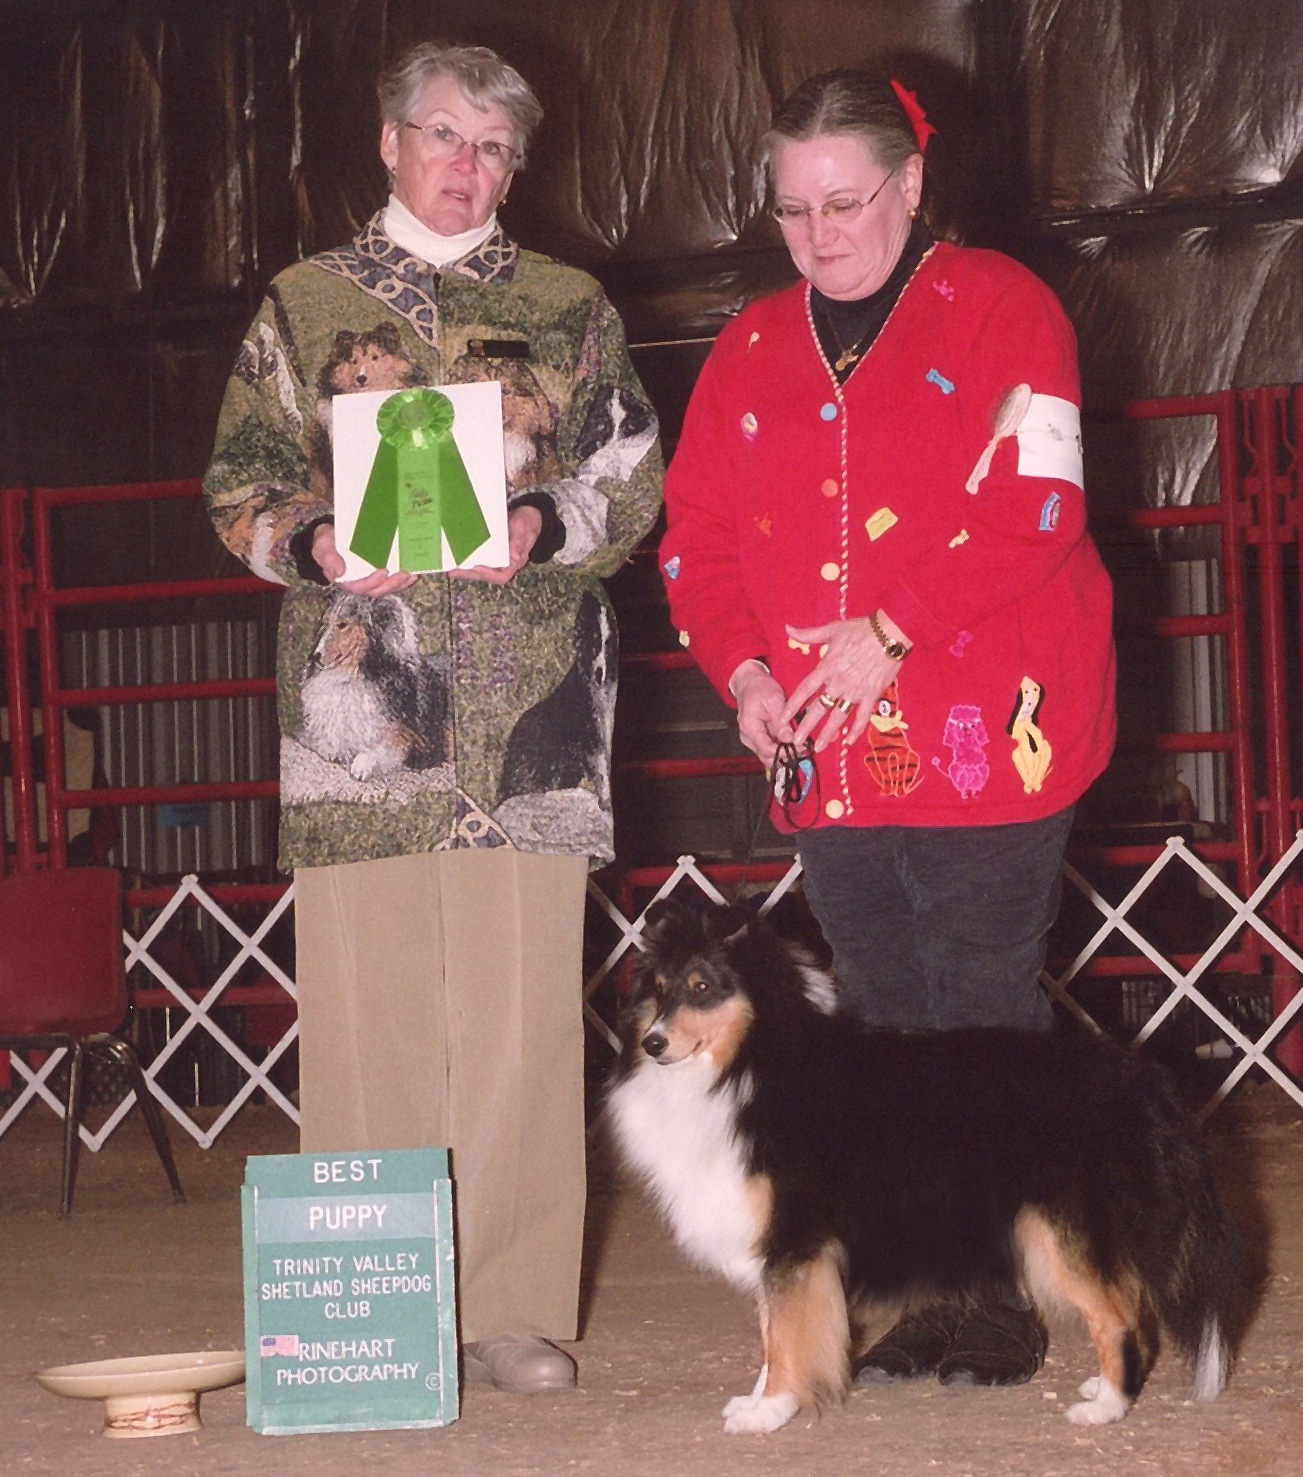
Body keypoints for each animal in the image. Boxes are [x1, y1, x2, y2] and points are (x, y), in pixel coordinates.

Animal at [606, 900, 1242, 1435]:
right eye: (658, 989)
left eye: (703, 987)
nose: (655, 1043)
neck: (753, 1060)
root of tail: (1139, 1076)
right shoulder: (775, 1244)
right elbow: (774, 1331)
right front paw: (761, 1400)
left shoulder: (794, 1237)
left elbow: (786, 1334)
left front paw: (770, 1412)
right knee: (1130, 1307)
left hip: (1055, 1233)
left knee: (1116, 1317)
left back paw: (1105, 1407)